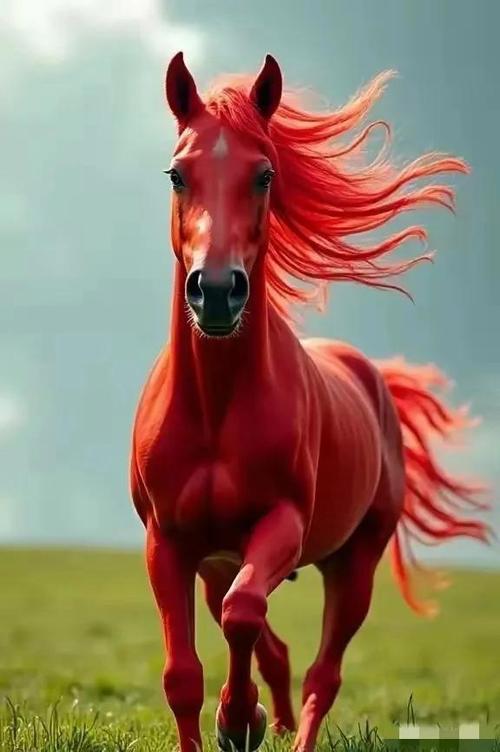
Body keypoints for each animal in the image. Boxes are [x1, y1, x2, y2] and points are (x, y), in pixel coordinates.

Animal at [129, 52, 489, 752]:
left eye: (265, 174)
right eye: (176, 174)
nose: (218, 291)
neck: (215, 408)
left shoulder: (285, 527)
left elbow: (244, 616)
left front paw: (237, 718)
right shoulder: (169, 543)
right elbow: (182, 674)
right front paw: (235, 718)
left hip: (355, 564)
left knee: (322, 671)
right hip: (218, 562)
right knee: (274, 648)